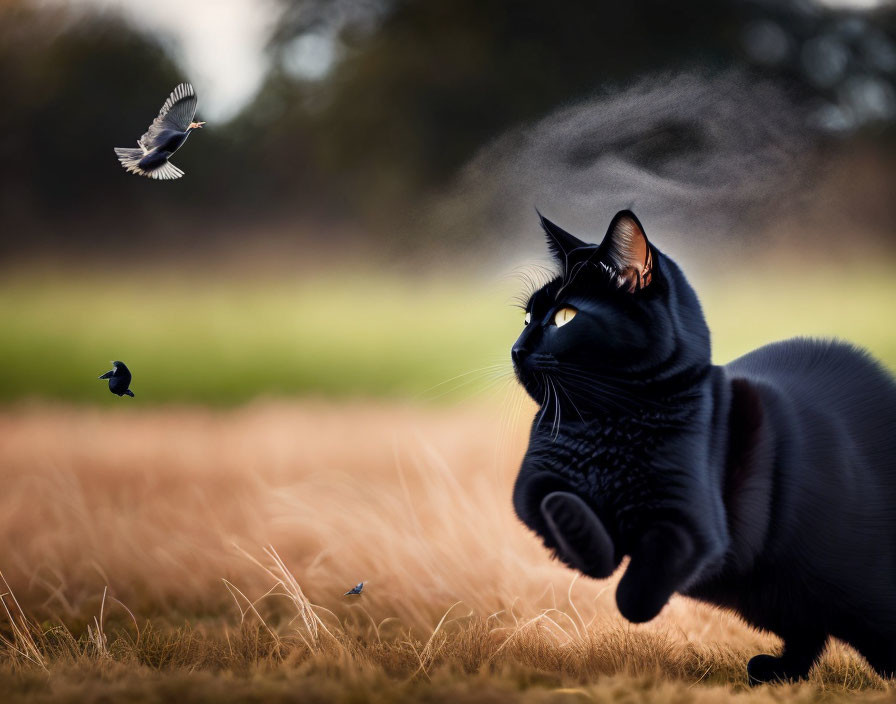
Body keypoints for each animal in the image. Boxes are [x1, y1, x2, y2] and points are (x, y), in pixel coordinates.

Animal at [512, 209, 896, 680]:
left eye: (565, 317)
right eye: (526, 319)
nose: (516, 349)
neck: (608, 429)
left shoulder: (695, 524)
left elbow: (648, 573)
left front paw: (631, 596)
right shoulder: (531, 485)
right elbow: (554, 502)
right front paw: (597, 555)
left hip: (849, 579)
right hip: (775, 595)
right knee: (809, 627)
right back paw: (776, 671)